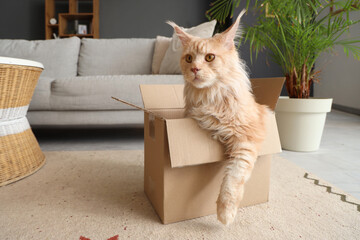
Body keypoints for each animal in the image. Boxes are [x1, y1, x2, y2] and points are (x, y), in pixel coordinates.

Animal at [169, 10, 270, 225]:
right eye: (189, 58)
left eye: (209, 57)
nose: (195, 69)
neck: (211, 98)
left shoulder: (247, 140)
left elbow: (232, 178)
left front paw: (225, 214)